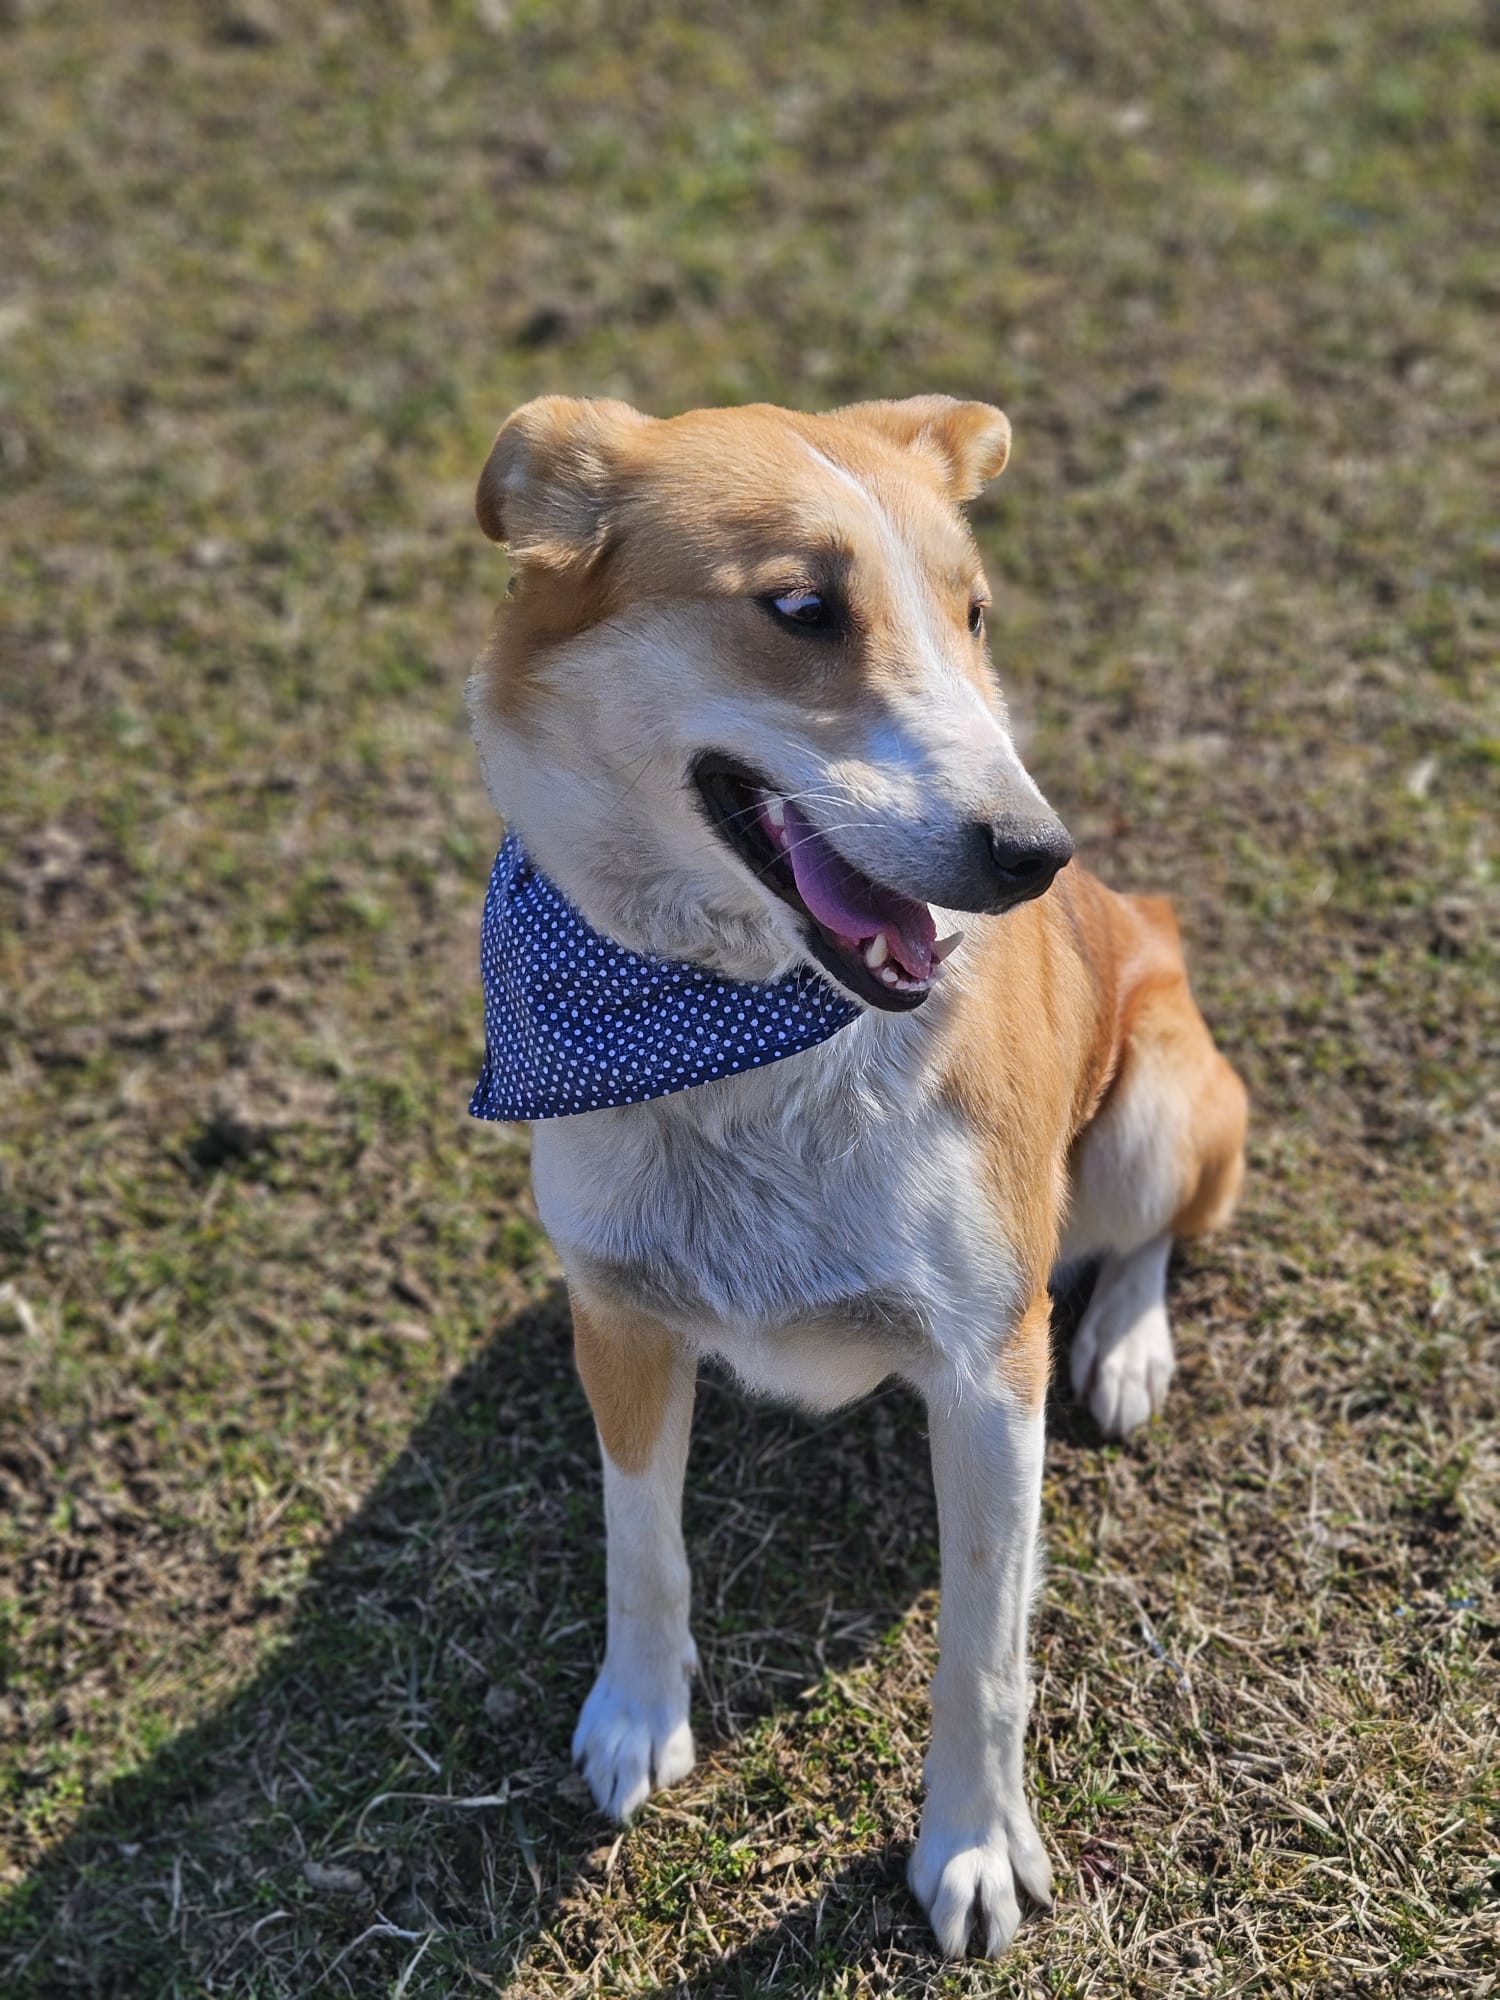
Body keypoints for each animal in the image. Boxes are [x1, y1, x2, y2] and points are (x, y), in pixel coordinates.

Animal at [466, 394, 1248, 1957]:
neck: (736, 1033)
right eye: (800, 609)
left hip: (1154, 1113)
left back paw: (1129, 1350)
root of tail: (1144, 907)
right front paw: (637, 1717)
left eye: (973, 615)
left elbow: (982, 1654)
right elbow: (640, 1542)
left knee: (1148, 1237)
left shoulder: (989, 1368)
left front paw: (976, 1847)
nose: (1032, 854)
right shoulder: (619, 1313)